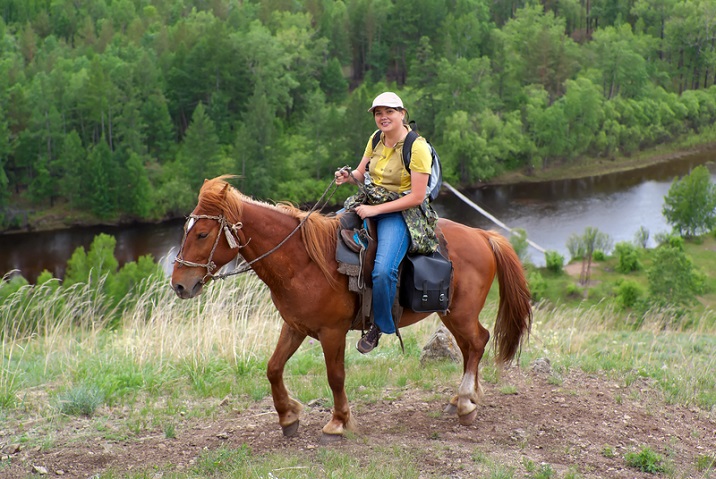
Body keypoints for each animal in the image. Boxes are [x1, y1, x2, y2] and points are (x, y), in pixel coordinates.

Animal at [171, 176, 532, 440]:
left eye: (202, 234)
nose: (179, 285)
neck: (302, 261)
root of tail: (483, 236)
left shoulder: (332, 332)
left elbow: (335, 376)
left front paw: (339, 422)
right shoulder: (295, 326)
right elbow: (273, 368)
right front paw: (288, 416)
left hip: (460, 312)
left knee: (477, 342)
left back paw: (467, 403)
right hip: (453, 315)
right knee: (471, 345)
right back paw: (462, 398)